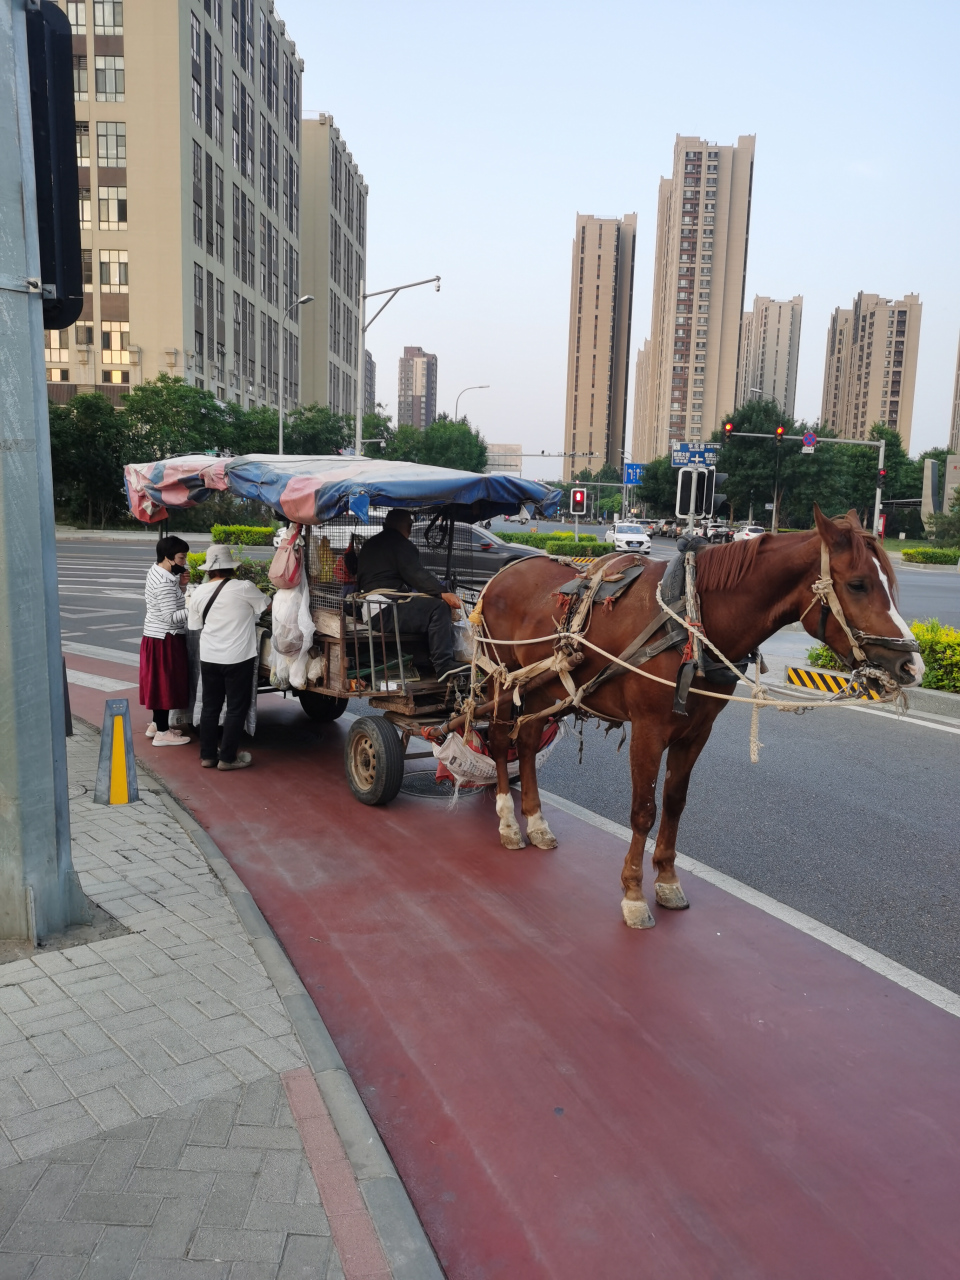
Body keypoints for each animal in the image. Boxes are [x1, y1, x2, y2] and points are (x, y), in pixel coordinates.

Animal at [483, 509, 926, 931]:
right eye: (858, 584)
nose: (911, 666)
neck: (692, 621)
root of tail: (505, 573)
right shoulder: (648, 729)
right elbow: (644, 810)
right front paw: (633, 893)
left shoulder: (696, 733)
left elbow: (675, 802)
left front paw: (666, 880)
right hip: (501, 677)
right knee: (502, 739)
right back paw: (507, 821)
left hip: (545, 690)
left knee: (527, 741)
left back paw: (536, 821)